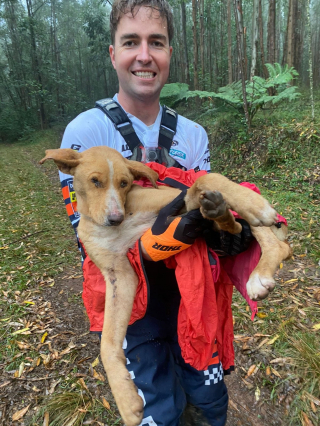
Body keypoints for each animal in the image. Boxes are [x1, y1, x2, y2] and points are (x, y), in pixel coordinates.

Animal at [39, 146, 290, 426]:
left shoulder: (176, 200)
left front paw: (249, 204)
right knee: (232, 224)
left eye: (125, 183)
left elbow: (207, 178)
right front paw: (125, 398)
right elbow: (108, 343)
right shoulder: (120, 276)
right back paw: (223, 218)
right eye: (95, 181)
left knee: (275, 241)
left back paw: (258, 260)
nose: (115, 219)